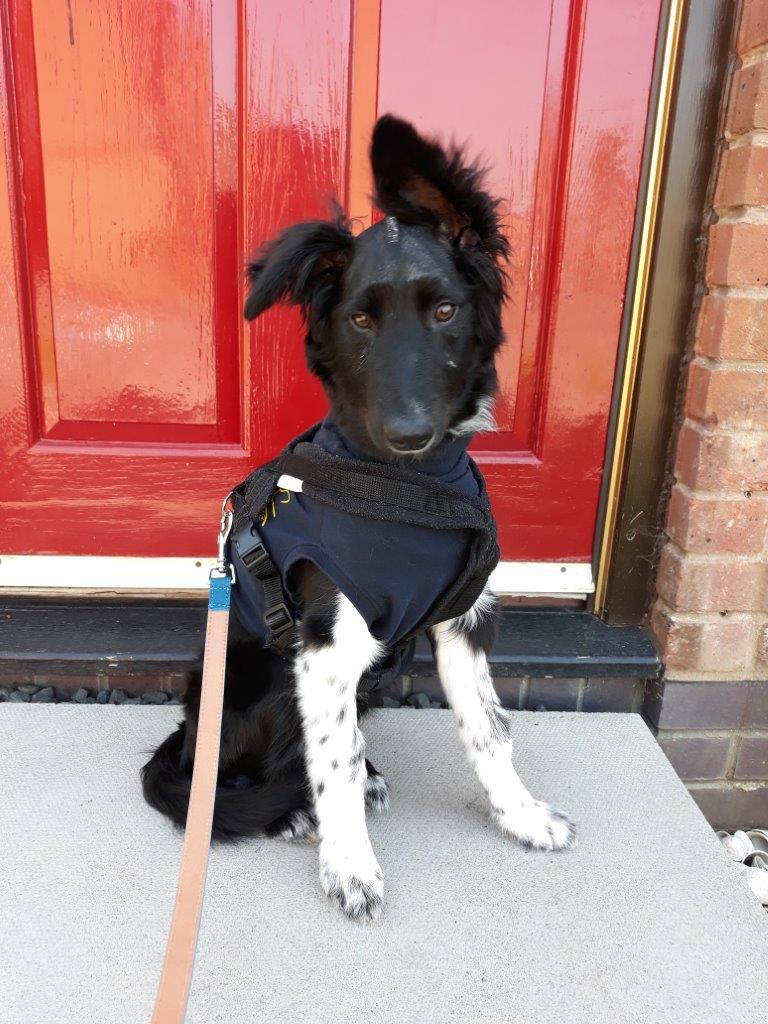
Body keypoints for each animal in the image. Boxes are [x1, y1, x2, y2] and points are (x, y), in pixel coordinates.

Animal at [144, 116, 577, 925]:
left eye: (446, 312)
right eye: (360, 320)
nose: (409, 432)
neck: (408, 487)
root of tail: (186, 733)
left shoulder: (464, 623)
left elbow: (490, 730)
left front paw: (522, 817)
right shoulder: (324, 649)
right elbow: (333, 764)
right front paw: (348, 866)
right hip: (260, 678)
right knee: (257, 768)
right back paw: (291, 811)